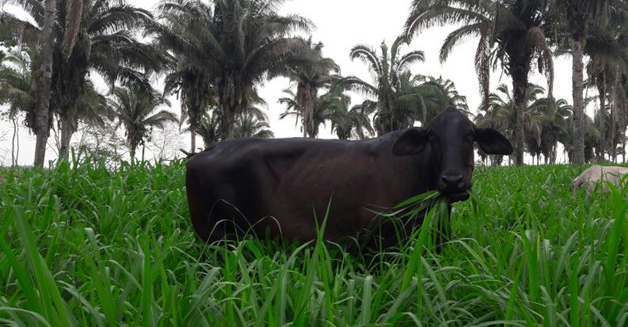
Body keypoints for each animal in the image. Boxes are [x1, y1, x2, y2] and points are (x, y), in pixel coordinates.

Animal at [184, 107, 512, 249]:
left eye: (470, 135)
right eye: (432, 136)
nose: (453, 180)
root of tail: (203, 153)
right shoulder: (382, 242)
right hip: (217, 235)